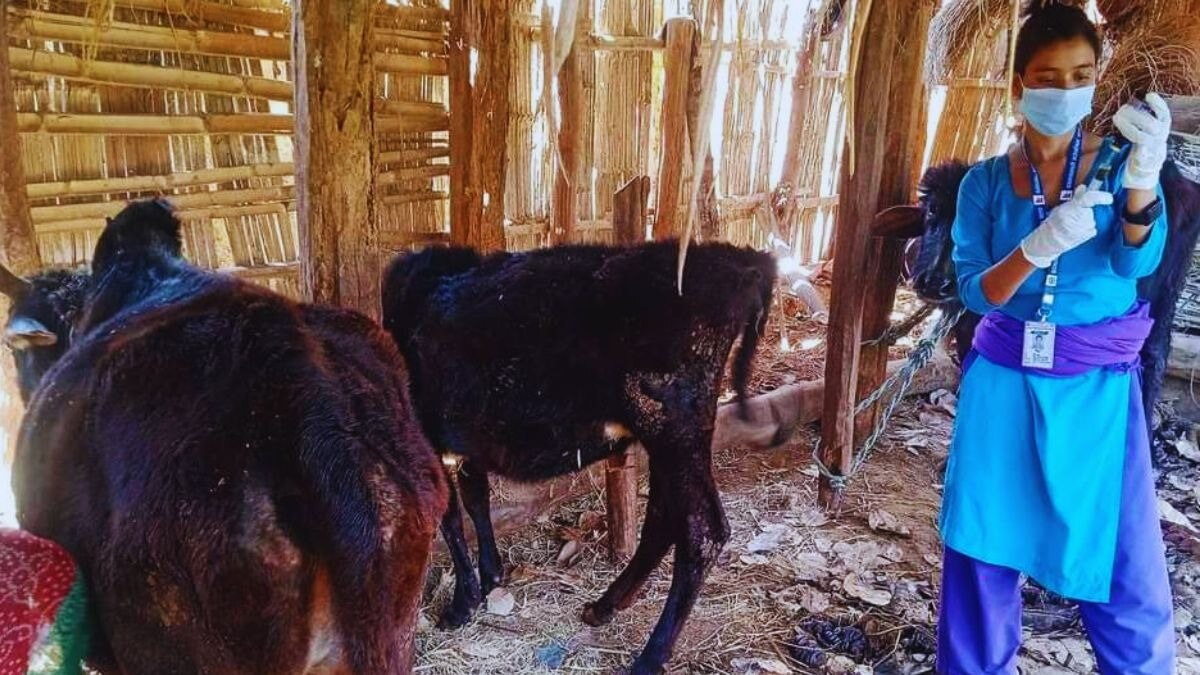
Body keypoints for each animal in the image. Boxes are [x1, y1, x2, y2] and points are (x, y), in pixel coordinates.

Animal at [381, 241, 776, 675]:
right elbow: (475, 499)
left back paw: (650, 656)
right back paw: (606, 604)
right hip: (668, 436)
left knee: (702, 530)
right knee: (663, 517)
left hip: (673, 426)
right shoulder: (466, 440)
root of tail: (743, 260)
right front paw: (491, 576)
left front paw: (461, 604)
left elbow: (451, 516)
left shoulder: (429, 433)